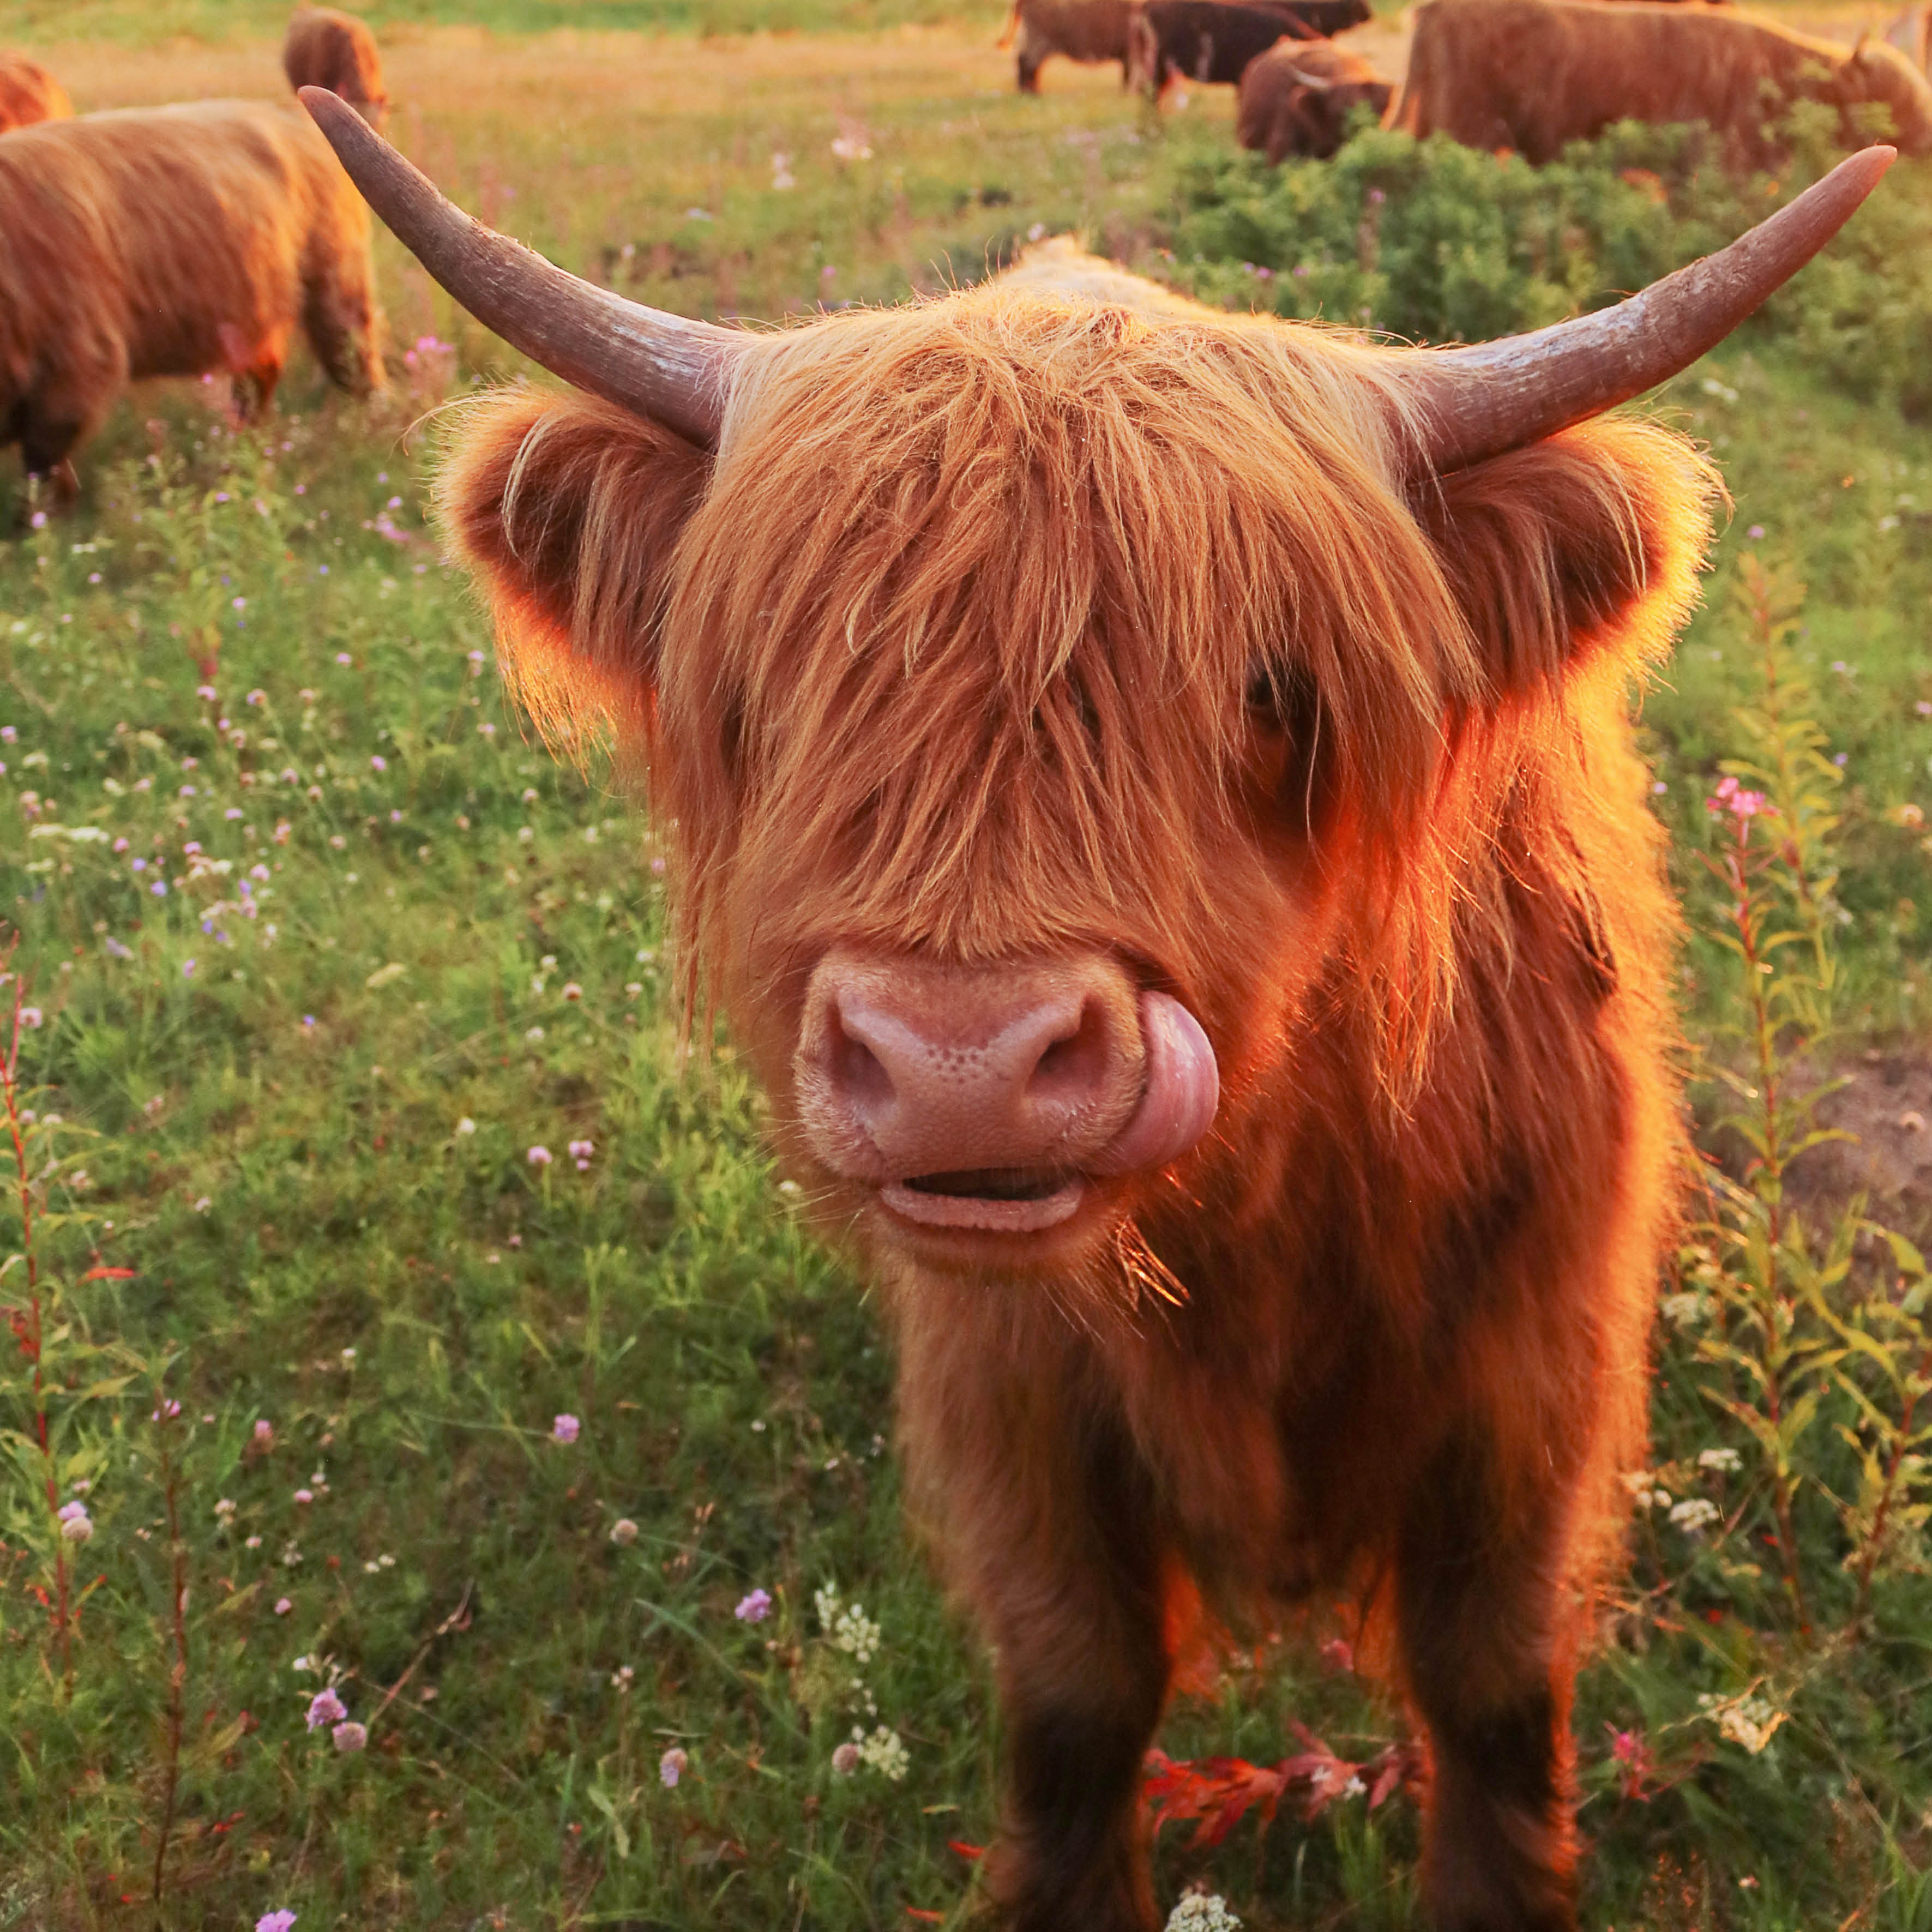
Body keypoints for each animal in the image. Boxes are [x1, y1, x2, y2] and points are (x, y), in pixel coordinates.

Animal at [0, 101, 384, 511]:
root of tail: (288, 112)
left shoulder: (79, 366)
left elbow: (42, 473)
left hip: (337, 286)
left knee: (356, 365)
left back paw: (371, 437)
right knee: (259, 380)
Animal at [301, 88, 1890, 1932]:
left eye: (1272, 687)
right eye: (782, 684)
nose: (960, 1067)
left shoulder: (1530, 1378)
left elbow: (1488, 1685)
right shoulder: (1010, 1398)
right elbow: (1076, 1693)